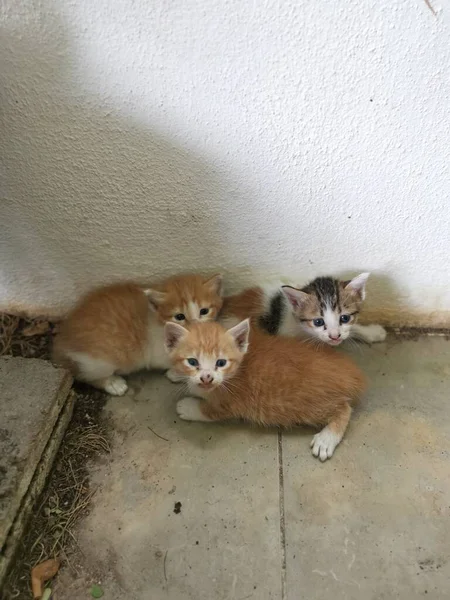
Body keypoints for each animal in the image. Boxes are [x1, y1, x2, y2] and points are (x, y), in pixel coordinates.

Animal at [53, 274, 223, 396]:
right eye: (179, 316)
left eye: (204, 311)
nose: (196, 326)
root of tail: (61, 343)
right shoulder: (156, 352)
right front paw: (177, 373)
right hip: (100, 359)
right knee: (85, 375)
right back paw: (113, 383)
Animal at [165, 322, 366, 462]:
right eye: (192, 362)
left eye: (220, 363)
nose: (207, 377)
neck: (235, 371)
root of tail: (352, 372)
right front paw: (177, 374)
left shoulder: (231, 403)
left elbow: (208, 410)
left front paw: (187, 406)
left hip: (309, 405)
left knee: (344, 409)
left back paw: (326, 439)